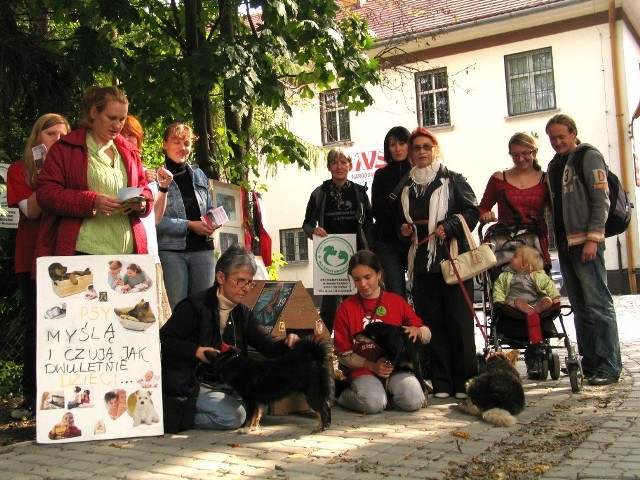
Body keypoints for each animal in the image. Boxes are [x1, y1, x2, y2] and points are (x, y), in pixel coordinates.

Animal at [202, 336, 332, 434]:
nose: (204, 351)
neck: (231, 362)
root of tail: (315, 359)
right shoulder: (258, 400)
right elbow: (257, 414)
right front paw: (254, 427)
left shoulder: (251, 400)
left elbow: (250, 416)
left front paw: (246, 429)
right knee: (326, 407)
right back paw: (324, 426)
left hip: (313, 394)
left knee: (323, 411)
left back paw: (320, 428)